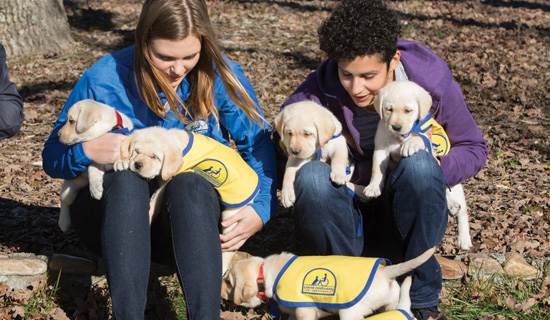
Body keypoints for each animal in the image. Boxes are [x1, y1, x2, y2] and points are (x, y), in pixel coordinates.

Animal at [57, 99, 134, 231]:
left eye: (71, 121)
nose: (57, 134)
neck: (109, 129)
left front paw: (122, 161)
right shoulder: (95, 160)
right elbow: (93, 171)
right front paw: (95, 188)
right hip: (68, 189)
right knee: (65, 201)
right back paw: (64, 222)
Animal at [114, 126, 260, 274]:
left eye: (154, 157)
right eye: (136, 151)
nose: (137, 164)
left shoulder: (166, 183)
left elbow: (154, 203)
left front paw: (147, 217)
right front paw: (123, 162)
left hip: (231, 215)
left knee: (230, 248)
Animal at [221, 248, 436, 320]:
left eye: (229, 282)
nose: (220, 291)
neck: (265, 272)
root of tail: (385, 271)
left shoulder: (304, 310)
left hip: (349, 313)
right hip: (391, 303)